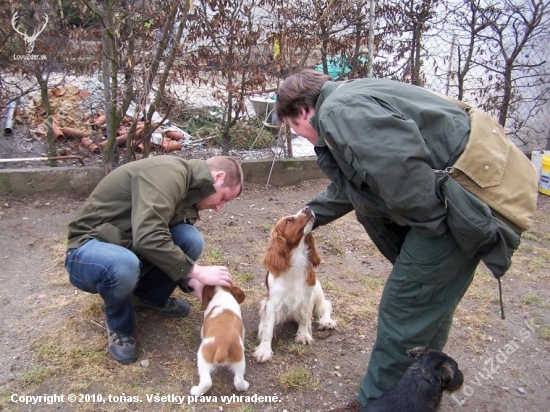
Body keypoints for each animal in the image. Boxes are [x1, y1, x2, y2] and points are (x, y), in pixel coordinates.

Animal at [254, 206, 336, 364]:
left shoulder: (306, 299)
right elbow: (268, 328)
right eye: (288, 221)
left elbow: (304, 318)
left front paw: (303, 335)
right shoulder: (272, 303)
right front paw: (264, 350)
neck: (296, 257)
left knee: (325, 305)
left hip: (318, 289)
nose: (307, 208)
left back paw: (326, 321)